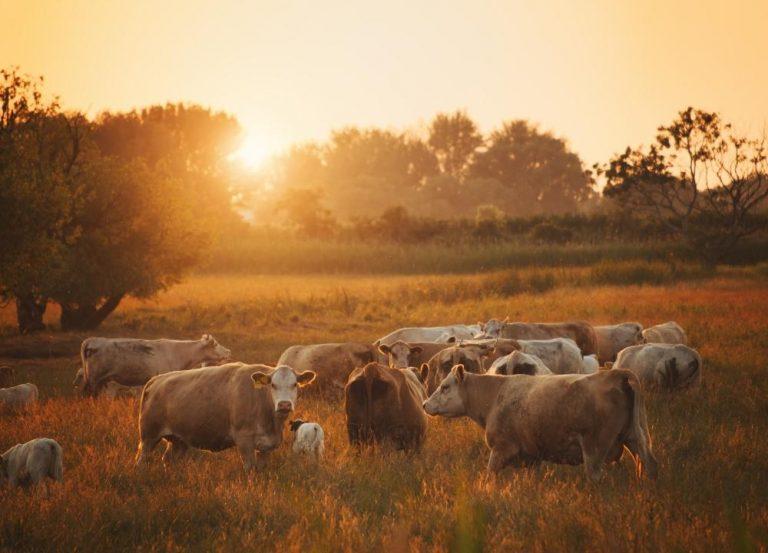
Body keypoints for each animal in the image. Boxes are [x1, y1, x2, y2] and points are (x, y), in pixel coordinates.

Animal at [135, 362, 316, 470]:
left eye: (295, 384)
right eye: (273, 384)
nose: (284, 404)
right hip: (149, 436)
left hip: (180, 440)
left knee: (168, 459)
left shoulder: (266, 446)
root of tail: (156, 380)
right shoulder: (244, 441)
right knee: (142, 459)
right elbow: (250, 468)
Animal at [424, 362, 656, 478]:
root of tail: (616, 374)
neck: (495, 395)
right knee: (649, 465)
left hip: (594, 449)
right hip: (637, 438)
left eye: (445, 387)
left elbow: (489, 477)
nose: (425, 404)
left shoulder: (500, 449)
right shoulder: (532, 457)